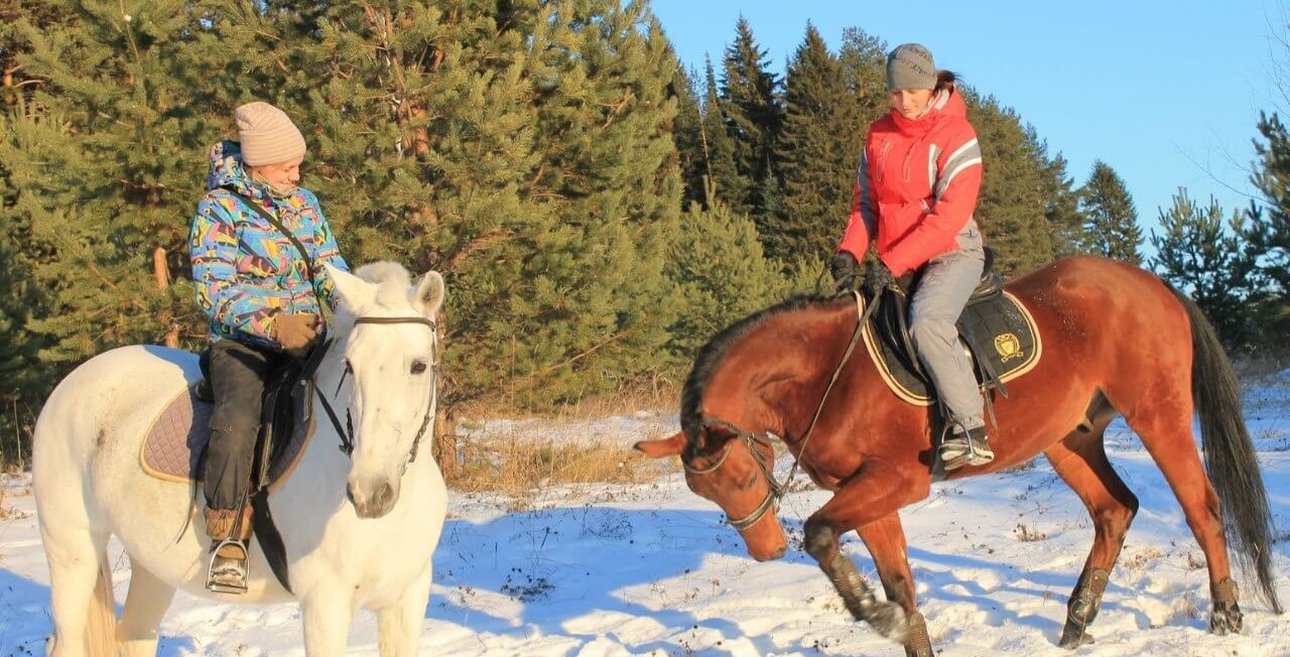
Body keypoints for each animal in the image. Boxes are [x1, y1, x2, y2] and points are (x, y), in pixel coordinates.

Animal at [32, 260, 451, 655]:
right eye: (349, 365)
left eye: (418, 366)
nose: (369, 492)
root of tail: (72, 382)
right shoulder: (325, 605)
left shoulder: (407, 599)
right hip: (71, 550)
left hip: (151, 563)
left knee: (135, 636)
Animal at [634, 255, 1279, 655]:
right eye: (704, 492)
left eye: (744, 476)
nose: (766, 551)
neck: (826, 373)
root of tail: (1153, 285)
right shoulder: (864, 491)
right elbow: (899, 582)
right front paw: (896, 622)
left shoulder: (898, 480)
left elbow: (819, 535)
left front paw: (871, 614)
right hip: (1068, 439)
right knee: (1114, 510)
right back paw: (1077, 620)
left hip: (1158, 416)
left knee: (1201, 506)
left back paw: (1225, 613)